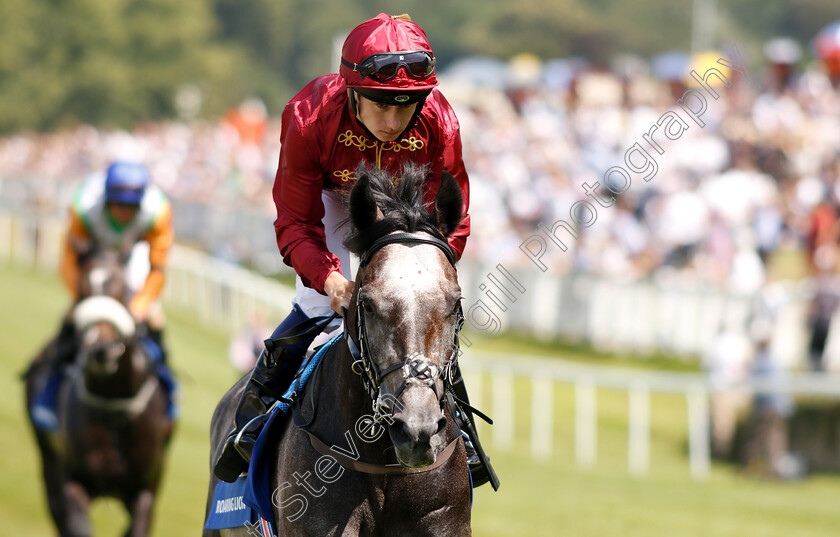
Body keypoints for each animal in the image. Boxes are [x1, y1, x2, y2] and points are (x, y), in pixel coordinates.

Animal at [24, 244, 174, 536]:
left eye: (120, 285)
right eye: (82, 287)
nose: (100, 348)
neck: (113, 401)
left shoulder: (145, 490)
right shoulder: (74, 482)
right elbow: (77, 524)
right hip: (48, 457)